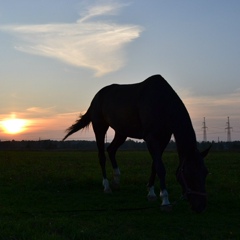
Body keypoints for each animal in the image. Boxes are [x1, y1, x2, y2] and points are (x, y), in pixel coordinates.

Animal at [63, 74, 210, 212]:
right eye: (189, 173)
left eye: (205, 172)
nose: (201, 207)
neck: (162, 102)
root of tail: (96, 97)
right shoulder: (151, 138)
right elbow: (160, 167)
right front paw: (165, 201)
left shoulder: (164, 139)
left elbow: (154, 165)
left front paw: (151, 193)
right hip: (100, 128)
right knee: (102, 156)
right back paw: (107, 186)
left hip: (121, 132)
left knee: (111, 150)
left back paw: (116, 180)